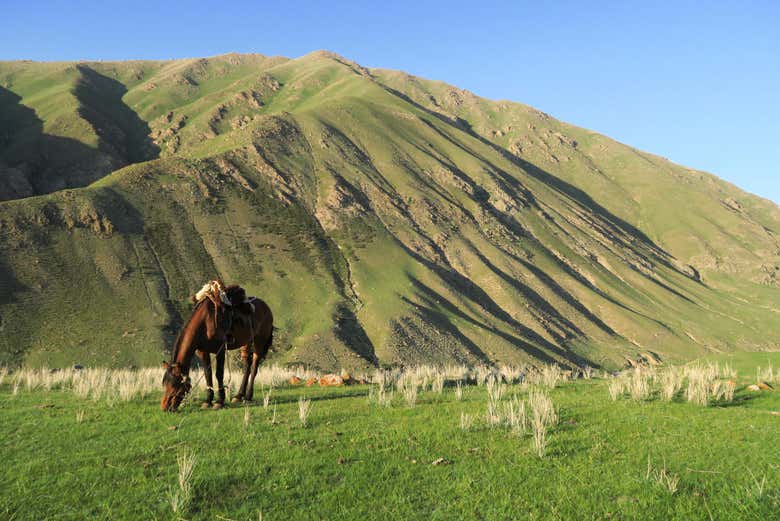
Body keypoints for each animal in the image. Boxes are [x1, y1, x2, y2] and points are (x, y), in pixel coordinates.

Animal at [158, 280, 274, 410]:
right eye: (165, 384)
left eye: (175, 385)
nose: (165, 407)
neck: (204, 322)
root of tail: (267, 308)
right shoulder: (203, 351)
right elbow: (208, 374)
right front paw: (208, 400)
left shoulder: (220, 350)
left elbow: (219, 374)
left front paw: (219, 401)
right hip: (246, 343)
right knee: (247, 366)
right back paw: (239, 396)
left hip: (259, 342)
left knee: (254, 367)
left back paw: (248, 397)